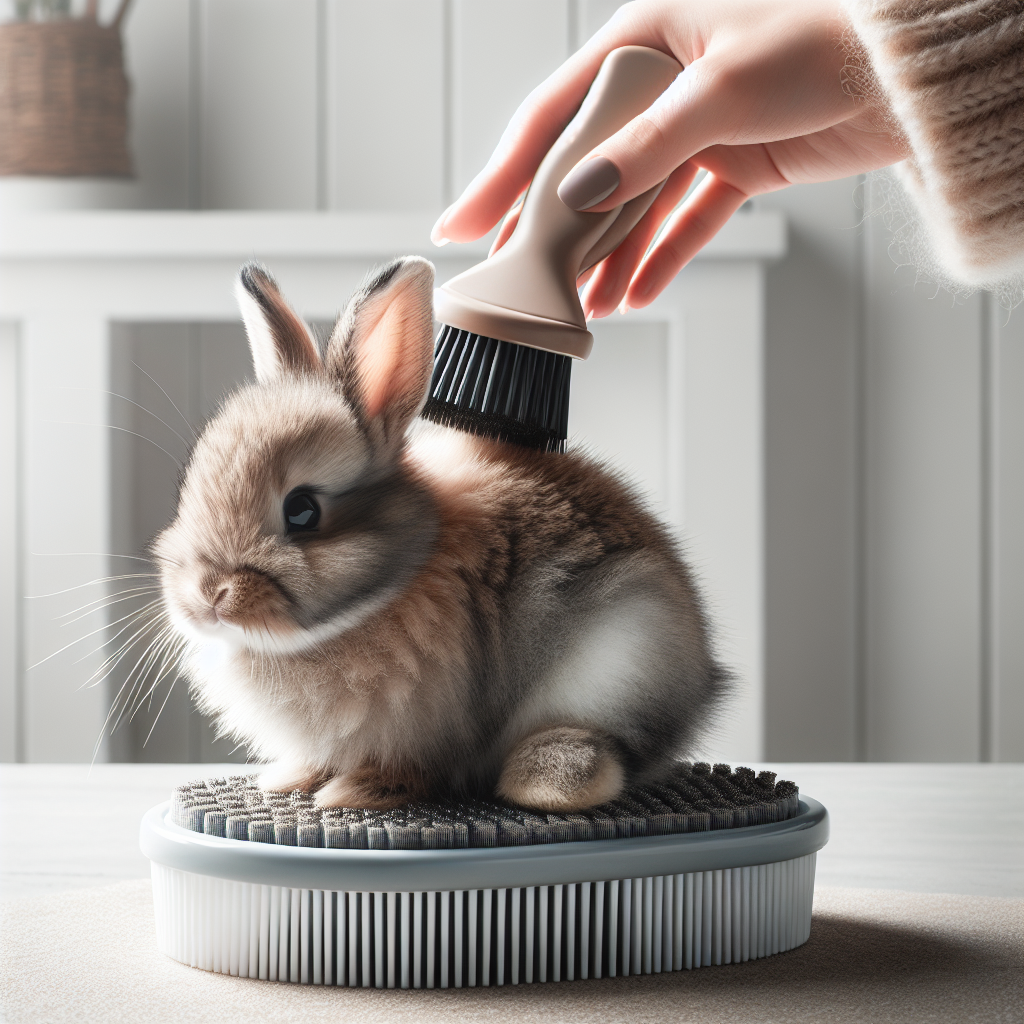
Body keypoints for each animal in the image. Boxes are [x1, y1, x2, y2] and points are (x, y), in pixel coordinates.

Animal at [153, 253, 729, 806]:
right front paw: (288, 780)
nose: (208, 595)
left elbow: (410, 769)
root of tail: (705, 680)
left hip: (623, 654)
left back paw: (546, 782)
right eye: (190, 486)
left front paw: (353, 793)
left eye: (302, 511)